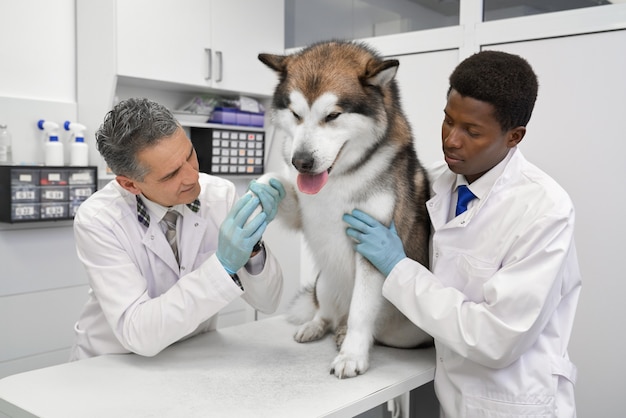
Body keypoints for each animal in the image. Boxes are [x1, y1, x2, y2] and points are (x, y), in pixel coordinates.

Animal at [256, 40, 432, 378]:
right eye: (296, 114)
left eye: (333, 115)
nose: (301, 162)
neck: (341, 177)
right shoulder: (302, 212)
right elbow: (281, 191)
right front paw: (261, 188)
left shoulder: (372, 243)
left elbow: (361, 312)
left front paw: (352, 355)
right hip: (324, 281)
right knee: (326, 313)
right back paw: (317, 326)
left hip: (407, 328)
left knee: (361, 322)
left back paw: (344, 334)